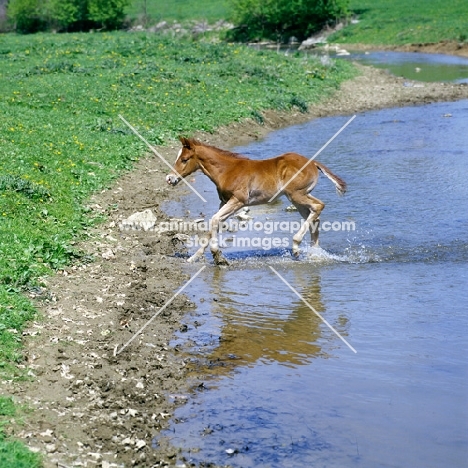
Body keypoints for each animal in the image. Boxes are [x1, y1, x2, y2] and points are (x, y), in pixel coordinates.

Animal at [166, 137, 346, 266]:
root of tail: (313, 163)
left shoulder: (238, 201)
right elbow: (214, 223)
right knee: (314, 216)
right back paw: (315, 253)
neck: (226, 170)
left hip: (297, 194)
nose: (169, 178)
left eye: (184, 159)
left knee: (318, 206)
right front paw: (194, 258)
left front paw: (217, 255)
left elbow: (215, 220)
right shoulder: (224, 202)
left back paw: (296, 247)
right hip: (296, 198)